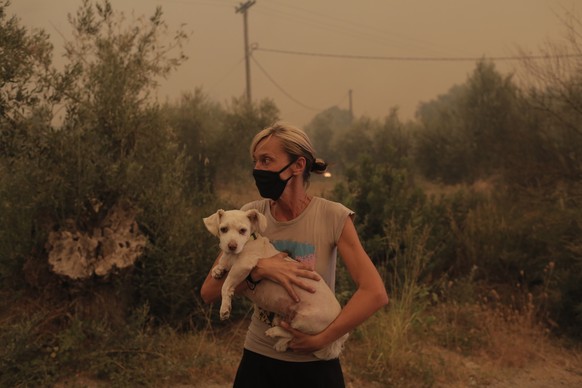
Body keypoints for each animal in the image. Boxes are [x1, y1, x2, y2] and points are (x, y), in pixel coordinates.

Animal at [204, 209, 350, 360]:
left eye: (243, 230)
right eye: (223, 229)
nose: (232, 246)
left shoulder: (243, 266)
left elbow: (226, 285)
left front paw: (224, 308)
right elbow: (221, 265)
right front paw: (217, 271)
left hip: (304, 320)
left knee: (294, 333)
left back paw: (275, 332)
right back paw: (280, 340)